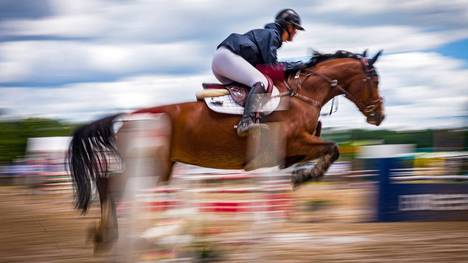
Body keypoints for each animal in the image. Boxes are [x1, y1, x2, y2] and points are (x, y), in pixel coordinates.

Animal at [67, 50, 386, 252]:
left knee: (109, 185)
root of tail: (127, 117)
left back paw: (107, 237)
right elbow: (333, 148)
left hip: (160, 170)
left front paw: (302, 175)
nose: (379, 116)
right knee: (110, 186)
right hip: (149, 168)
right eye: (374, 80)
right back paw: (105, 236)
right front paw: (305, 176)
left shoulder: (292, 149)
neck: (303, 95)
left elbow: (323, 149)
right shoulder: (294, 141)